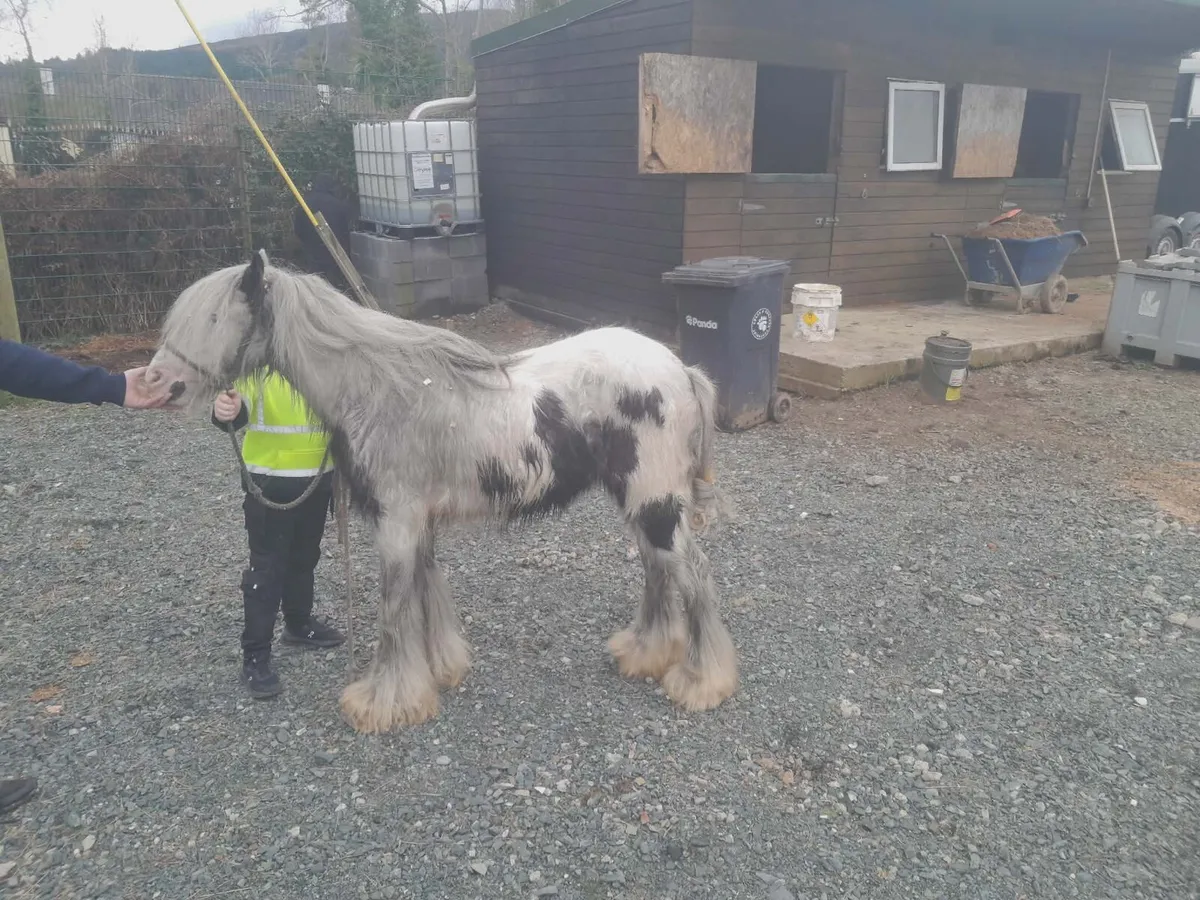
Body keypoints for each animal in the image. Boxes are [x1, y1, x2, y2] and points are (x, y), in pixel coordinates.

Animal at [144, 250, 738, 733]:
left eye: (214, 318)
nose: (158, 384)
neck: (375, 389)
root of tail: (681, 369)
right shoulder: (416, 523)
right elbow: (426, 591)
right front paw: (436, 671)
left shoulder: (396, 523)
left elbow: (394, 609)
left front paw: (383, 703)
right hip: (641, 503)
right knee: (659, 571)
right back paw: (646, 653)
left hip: (656, 504)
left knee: (696, 576)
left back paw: (702, 681)